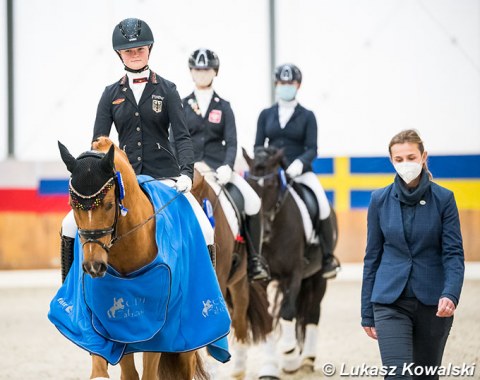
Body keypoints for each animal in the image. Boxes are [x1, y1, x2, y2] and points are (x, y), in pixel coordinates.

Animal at [56, 138, 208, 380]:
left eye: (109, 204)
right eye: (72, 204)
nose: (94, 266)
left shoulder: (158, 330)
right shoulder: (105, 326)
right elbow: (110, 370)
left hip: (187, 339)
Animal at [244, 146, 334, 378]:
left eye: (272, 184)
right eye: (249, 185)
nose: (263, 231)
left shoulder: (294, 273)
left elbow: (287, 312)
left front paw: (289, 352)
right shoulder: (263, 279)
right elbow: (268, 317)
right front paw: (269, 367)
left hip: (317, 277)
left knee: (312, 313)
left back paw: (307, 360)